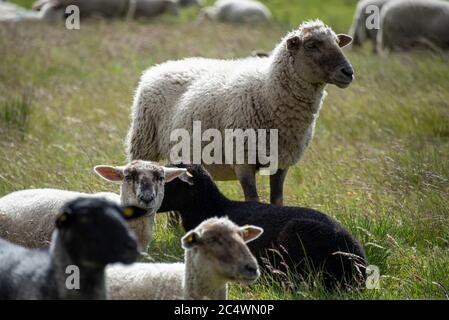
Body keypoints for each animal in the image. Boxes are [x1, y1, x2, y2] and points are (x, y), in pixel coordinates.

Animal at [126, 19, 354, 205]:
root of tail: (159, 67)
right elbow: (253, 199)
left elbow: (277, 200)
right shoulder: (242, 158)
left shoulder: (281, 161)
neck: (268, 91)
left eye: (337, 42)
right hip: (143, 142)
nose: (349, 72)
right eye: (311, 45)